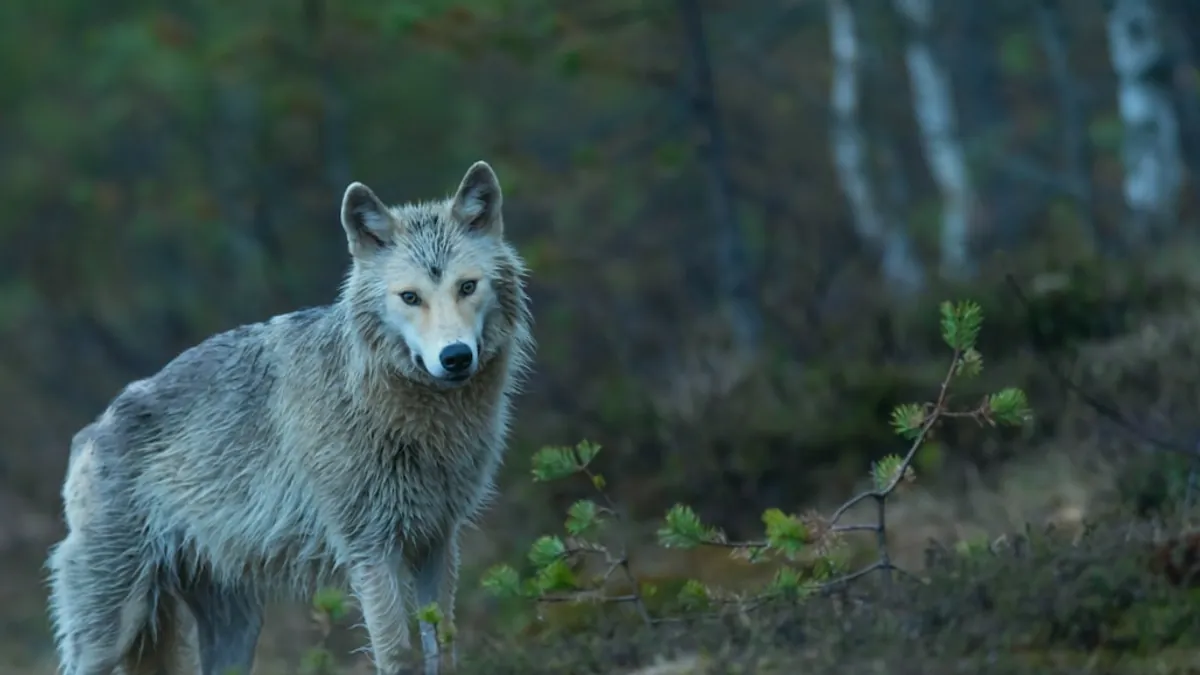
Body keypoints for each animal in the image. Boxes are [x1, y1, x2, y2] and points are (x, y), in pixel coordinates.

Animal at [45, 160, 535, 675]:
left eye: (467, 286)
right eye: (410, 297)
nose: (455, 356)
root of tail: (90, 431)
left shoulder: (437, 542)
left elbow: (445, 646)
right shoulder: (370, 549)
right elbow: (398, 655)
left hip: (236, 628)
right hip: (108, 634)